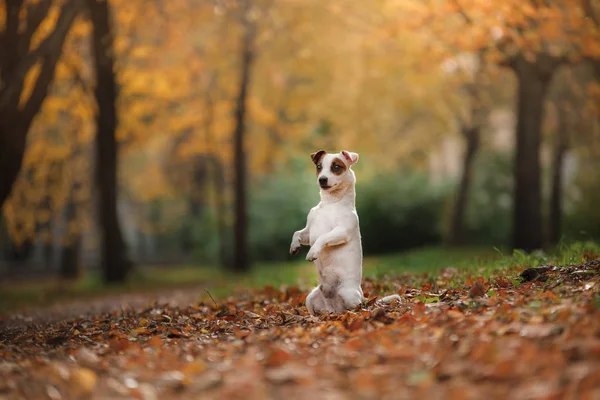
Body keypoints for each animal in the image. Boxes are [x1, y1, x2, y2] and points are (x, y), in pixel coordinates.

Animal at [290, 148, 400, 314]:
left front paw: (313, 252)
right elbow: (297, 233)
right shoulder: (309, 232)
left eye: (336, 167)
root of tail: (334, 309)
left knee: (358, 307)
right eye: (319, 167)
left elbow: (322, 238)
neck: (331, 202)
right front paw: (294, 246)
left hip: (347, 294)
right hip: (310, 298)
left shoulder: (342, 231)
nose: (322, 179)